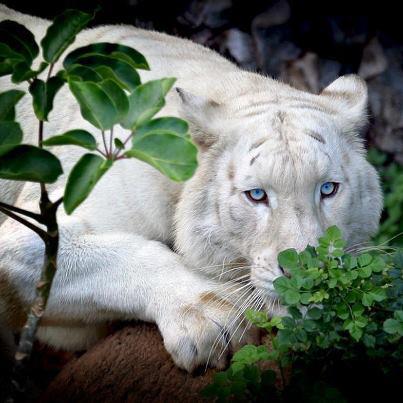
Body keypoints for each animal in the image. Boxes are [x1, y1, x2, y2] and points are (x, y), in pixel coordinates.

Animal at [0, 5, 384, 372]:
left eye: (328, 189)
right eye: (257, 195)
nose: (306, 273)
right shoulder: (36, 231)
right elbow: (133, 253)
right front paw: (216, 319)